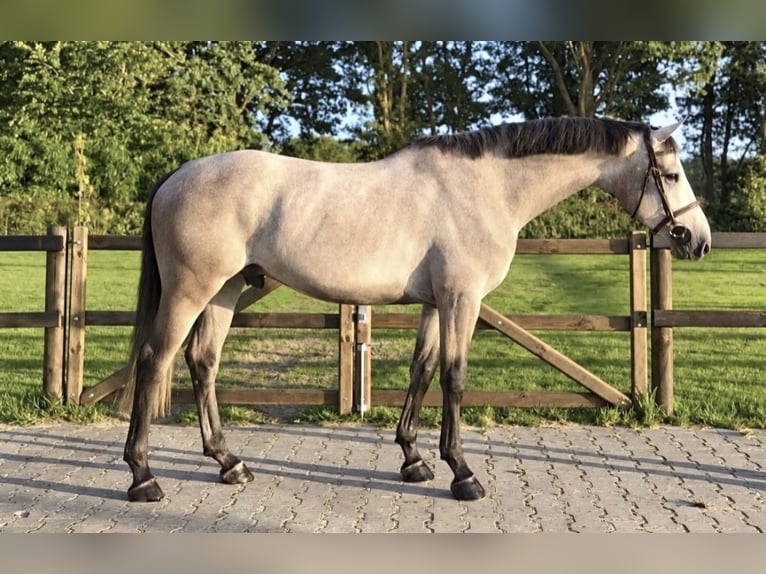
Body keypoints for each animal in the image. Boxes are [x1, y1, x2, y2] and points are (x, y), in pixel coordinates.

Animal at [118, 116, 711, 502]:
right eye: (672, 175)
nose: (698, 241)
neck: (487, 187)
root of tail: (175, 178)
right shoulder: (462, 300)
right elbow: (454, 376)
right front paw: (463, 473)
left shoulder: (434, 304)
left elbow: (421, 371)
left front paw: (414, 459)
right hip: (192, 290)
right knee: (154, 360)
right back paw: (143, 477)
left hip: (225, 290)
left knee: (202, 362)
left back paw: (229, 463)